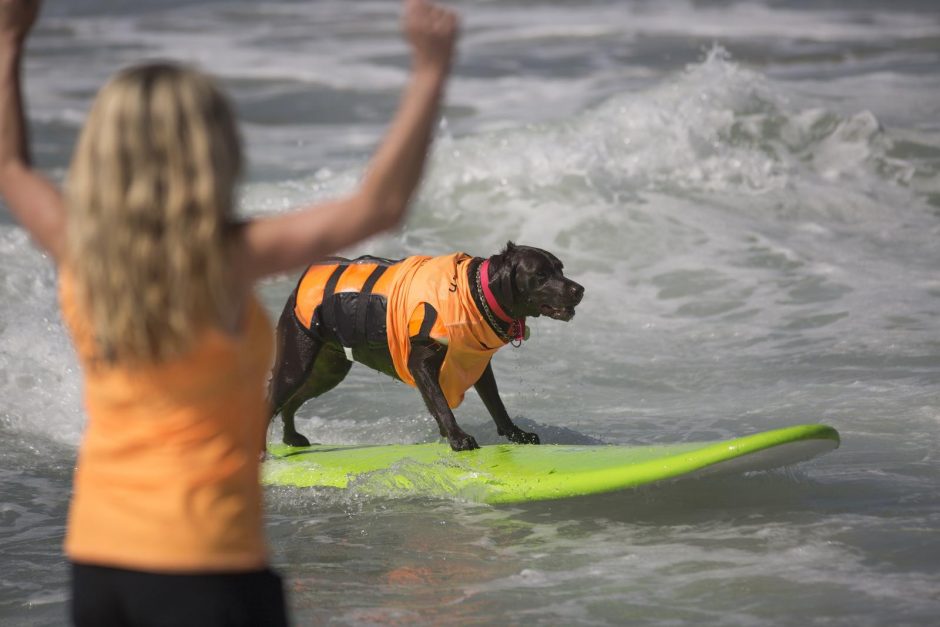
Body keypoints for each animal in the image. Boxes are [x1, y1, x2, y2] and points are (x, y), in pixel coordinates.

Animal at [268, 240, 584, 452]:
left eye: (560, 268)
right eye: (541, 275)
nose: (579, 289)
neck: (473, 292)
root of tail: (298, 284)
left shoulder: (479, 366)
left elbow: (497, 406)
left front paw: (517, 435)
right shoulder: (420, 363)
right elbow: (442, 404)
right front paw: (457, 437)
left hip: (328, 370)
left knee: (292, 402)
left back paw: (291, 438)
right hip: (296, 362)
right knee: (273, 399)